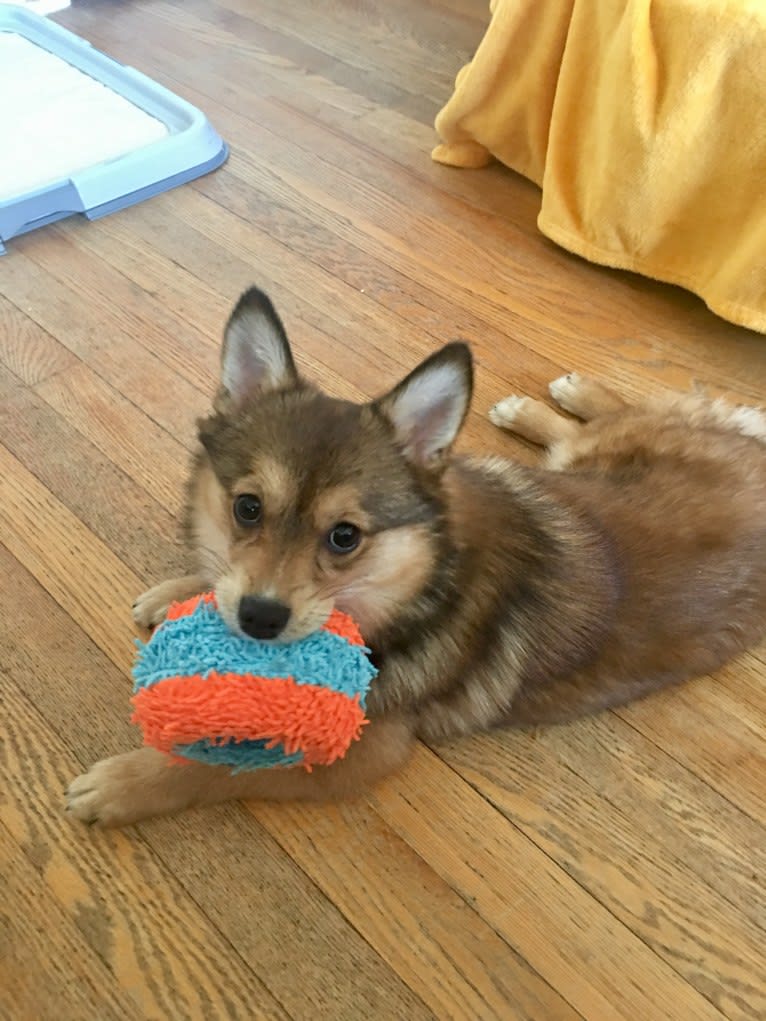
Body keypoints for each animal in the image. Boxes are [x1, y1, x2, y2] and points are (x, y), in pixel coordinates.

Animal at [65, 287, 766, 829]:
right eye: (247, 508)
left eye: (345, 537)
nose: (259, 619)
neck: (423, 580)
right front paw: (179, 591)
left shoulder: (356, 752)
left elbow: (218, 768)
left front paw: (127, 784)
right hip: (585, 461)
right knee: (604, 423)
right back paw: (554, 399)